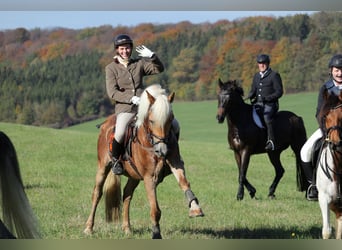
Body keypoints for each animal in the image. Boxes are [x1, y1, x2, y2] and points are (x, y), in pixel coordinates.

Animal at [83, 84, 203, 238]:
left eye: (171, 119)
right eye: (151, 121)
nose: (162, 151)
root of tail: (106, 123)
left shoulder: (176, 164)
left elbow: (184, 183)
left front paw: (195, 208)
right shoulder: (149, 177)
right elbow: (155, 209)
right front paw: (156, 234)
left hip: (134, 176)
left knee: (127, 195)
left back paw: (127, 228)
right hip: (103, 167)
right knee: (97, 194)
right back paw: (88, 228)